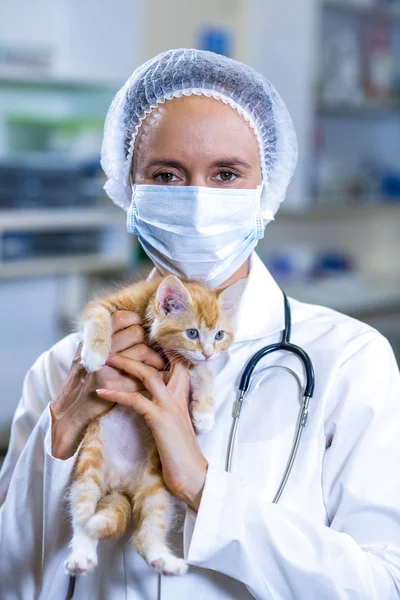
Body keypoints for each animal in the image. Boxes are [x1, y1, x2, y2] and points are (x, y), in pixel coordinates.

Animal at [64, 276, 245, 576]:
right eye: (192, 333)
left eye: (219, 335)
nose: (209, 352)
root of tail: (121, 484)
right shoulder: (107, 304)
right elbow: (98, 316)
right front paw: (94, 354)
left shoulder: (191, 362)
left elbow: (204, 373)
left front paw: (204, 414)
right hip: (88, 468)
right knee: (82, 518)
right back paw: (81, 556)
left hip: (156, 487)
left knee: (145, 532)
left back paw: (163, 559)